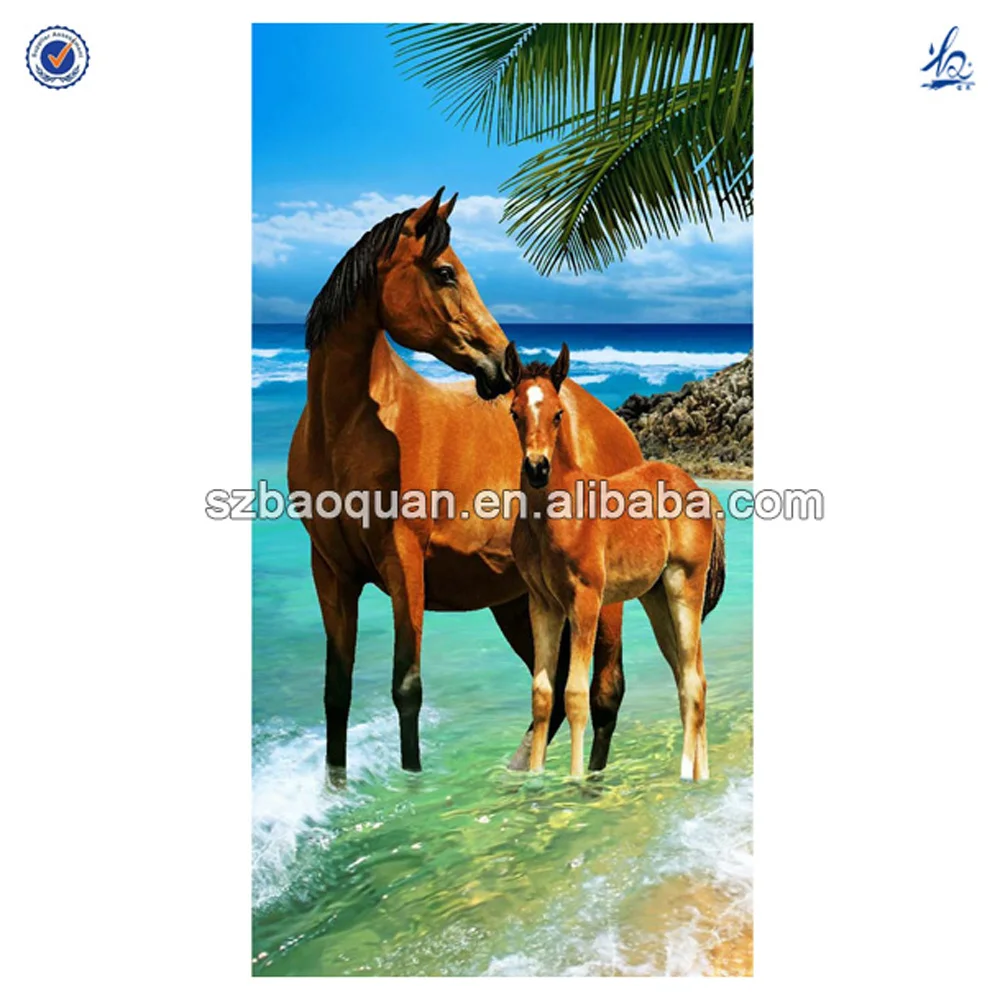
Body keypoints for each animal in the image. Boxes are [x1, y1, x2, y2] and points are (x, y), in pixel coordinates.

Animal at [286, 187, 645, 775]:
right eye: (445, 272)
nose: (504, 364)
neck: (346, 430)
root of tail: (614, 425)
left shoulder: (404, 564)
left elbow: (406, 686)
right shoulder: (331, 572)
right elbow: (335, 692)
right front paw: (335, 783)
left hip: (600, 600)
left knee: (605, 690)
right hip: (520, 602)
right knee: (549, 687)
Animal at [504, 342, 726, 780]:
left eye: (558, 413)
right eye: (514, 411)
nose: (537, 468)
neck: (553, 515)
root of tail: (699, 488)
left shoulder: (586, 601)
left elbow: (574, 693)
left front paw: (574, 780)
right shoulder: (543, 605)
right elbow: (542, 695)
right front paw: (535, 780)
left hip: (684, 589)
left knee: (693, 681)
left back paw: (687, 775)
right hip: (657, 600)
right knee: (688, 676)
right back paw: (702, 776)